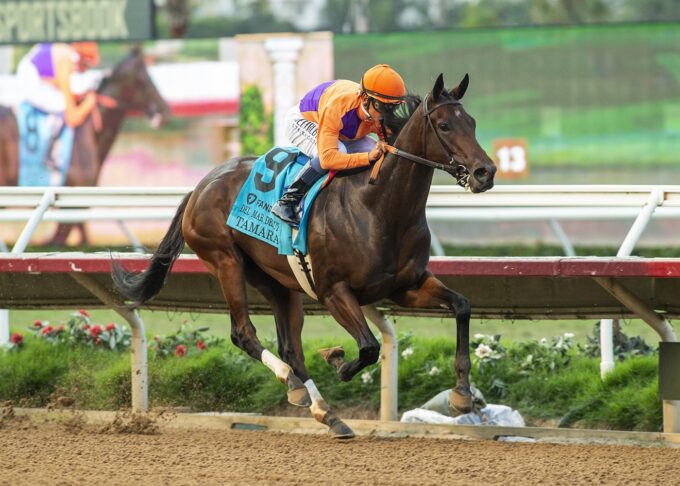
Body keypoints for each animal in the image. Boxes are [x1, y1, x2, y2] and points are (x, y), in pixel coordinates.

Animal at [114, 74, 496, 438]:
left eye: (473, 122)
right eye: (444, 125)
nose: (485, 172)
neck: (378, 207)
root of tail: (200, 186)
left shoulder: (406, 286)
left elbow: (462, 306)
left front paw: (462, 394)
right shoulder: (333, 292)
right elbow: (369, 347)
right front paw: (337, 359)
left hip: (276, 280)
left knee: (291, 348)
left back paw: (325, 412)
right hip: (225, 261)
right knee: (244, 333)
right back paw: (295, 385)